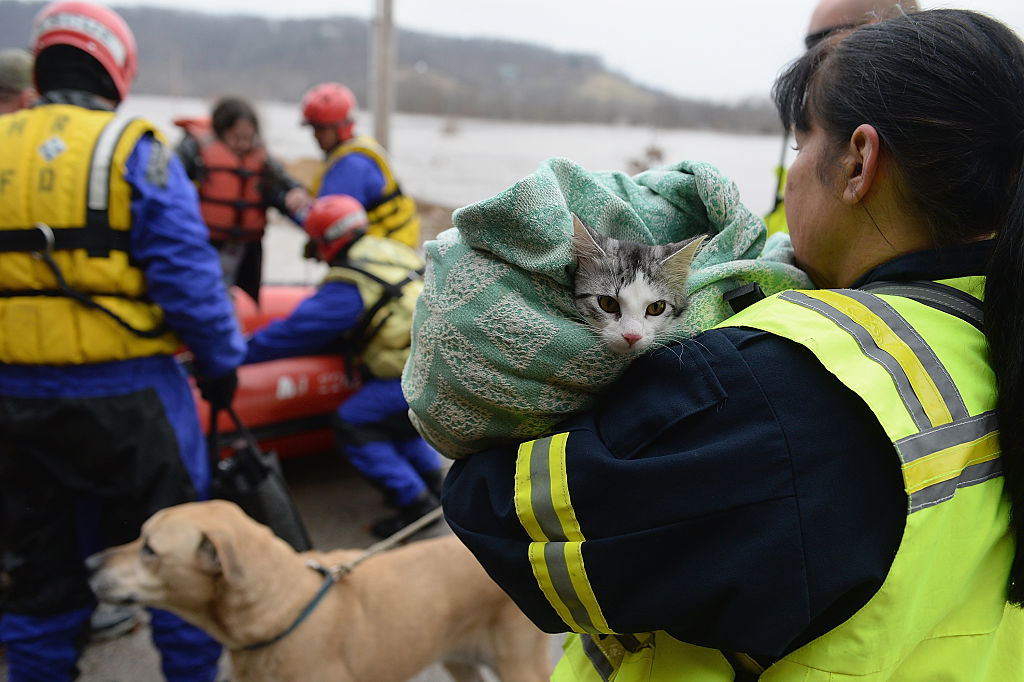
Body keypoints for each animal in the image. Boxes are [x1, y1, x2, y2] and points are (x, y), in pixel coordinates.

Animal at [88, 497, 552, 675]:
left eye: (149, 549)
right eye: (139, 534)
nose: (89, 562)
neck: (283, 609)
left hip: (518, 665)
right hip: (459, 661)